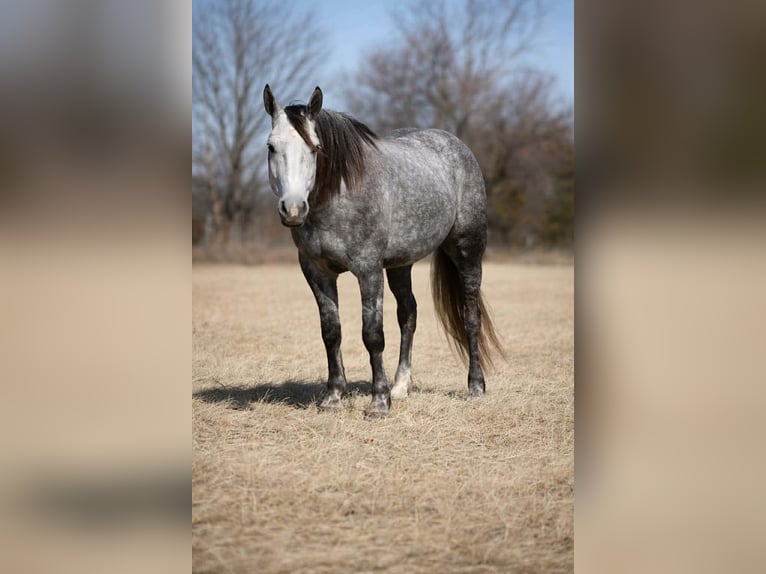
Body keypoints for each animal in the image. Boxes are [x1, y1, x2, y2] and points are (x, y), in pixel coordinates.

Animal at [263, 84, 502, 417]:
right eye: (271, 147)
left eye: (316, 148)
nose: (294, 209)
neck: (340, 194)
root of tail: (456, 145)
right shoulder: (316, 272)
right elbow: (331, 332)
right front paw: (334, 396)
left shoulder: (369, 270)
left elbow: (372, 334)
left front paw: (378, 402)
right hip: (401, 264)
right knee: (408, 314)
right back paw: (400, 387)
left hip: (467, 252)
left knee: (470, 316)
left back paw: (475, 386)